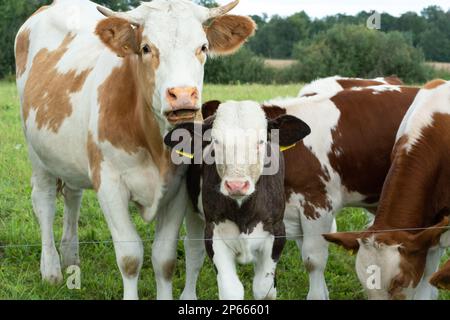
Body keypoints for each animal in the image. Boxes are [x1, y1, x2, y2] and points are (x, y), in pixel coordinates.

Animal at [14, 0, 256, 300]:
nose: (183, 95)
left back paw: (70, 257)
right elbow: (130, 257)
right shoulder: (110, 184)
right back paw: (51, 269)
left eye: (203, 47)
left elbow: (164, 258)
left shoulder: (178, 187)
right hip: (36, 150)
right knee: (44, 200)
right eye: (146, 48)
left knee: (72, 196)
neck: (155, 144)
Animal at [163, 100, 312, 300]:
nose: (236, 185)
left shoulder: (277, 231)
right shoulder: (213, 232)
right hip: (193, 211)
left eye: (261, 141)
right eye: (215, 141)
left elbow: (264, 288)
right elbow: (231, 289)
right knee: (193, 250)